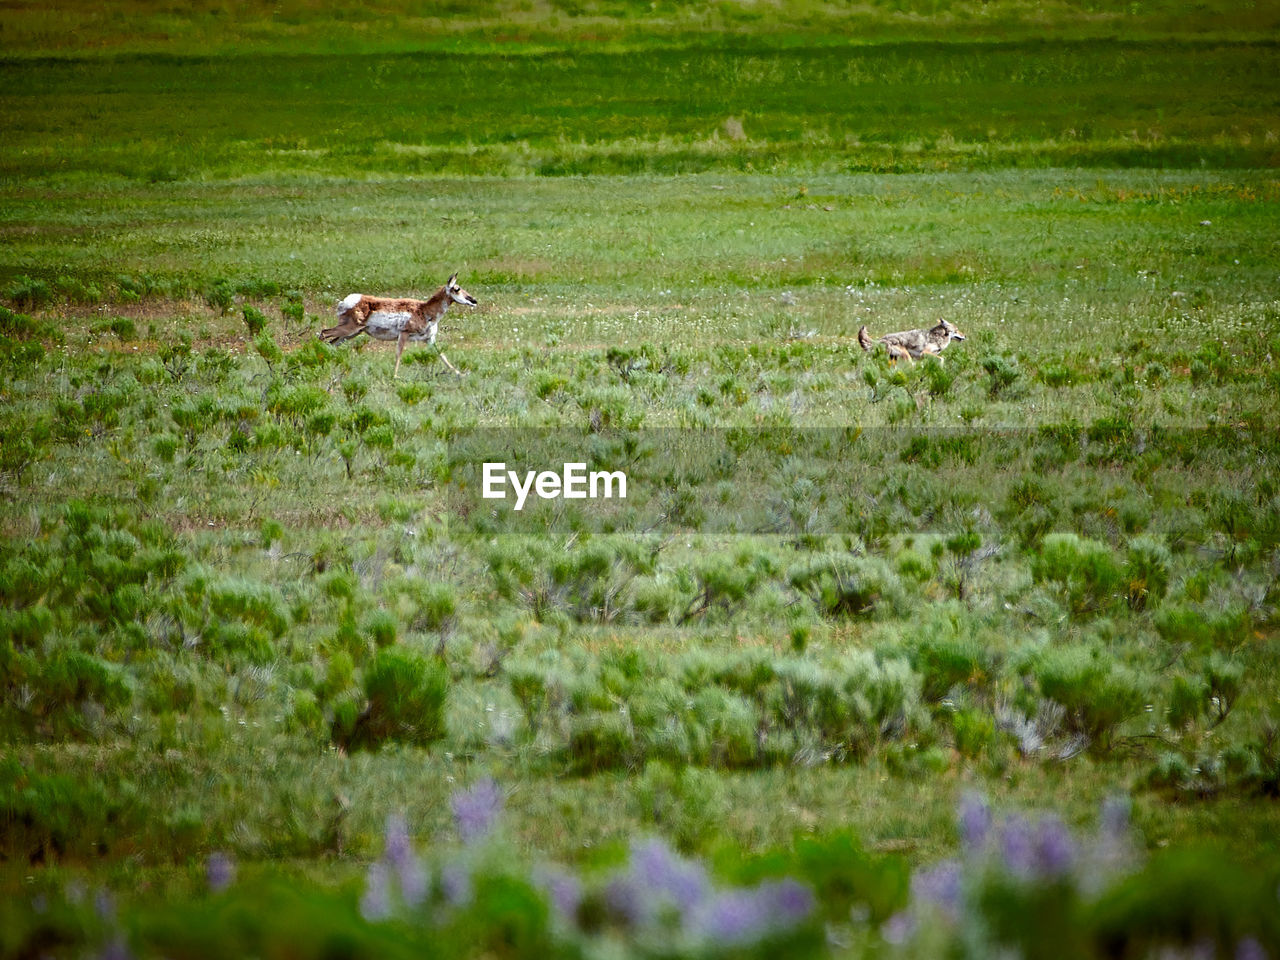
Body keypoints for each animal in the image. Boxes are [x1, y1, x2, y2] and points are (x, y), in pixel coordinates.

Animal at [320, 272, 481, 378]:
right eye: (457, 288)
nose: (474, 300)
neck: (424, 310)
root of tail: (345, 301)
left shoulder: (429, 340)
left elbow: (442, 356)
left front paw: (460, 373)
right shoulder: (403, 334)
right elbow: (399, 354)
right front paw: (395, 376)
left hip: (351, 334)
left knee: (331, 343)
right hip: (349, 330)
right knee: (323, 333)